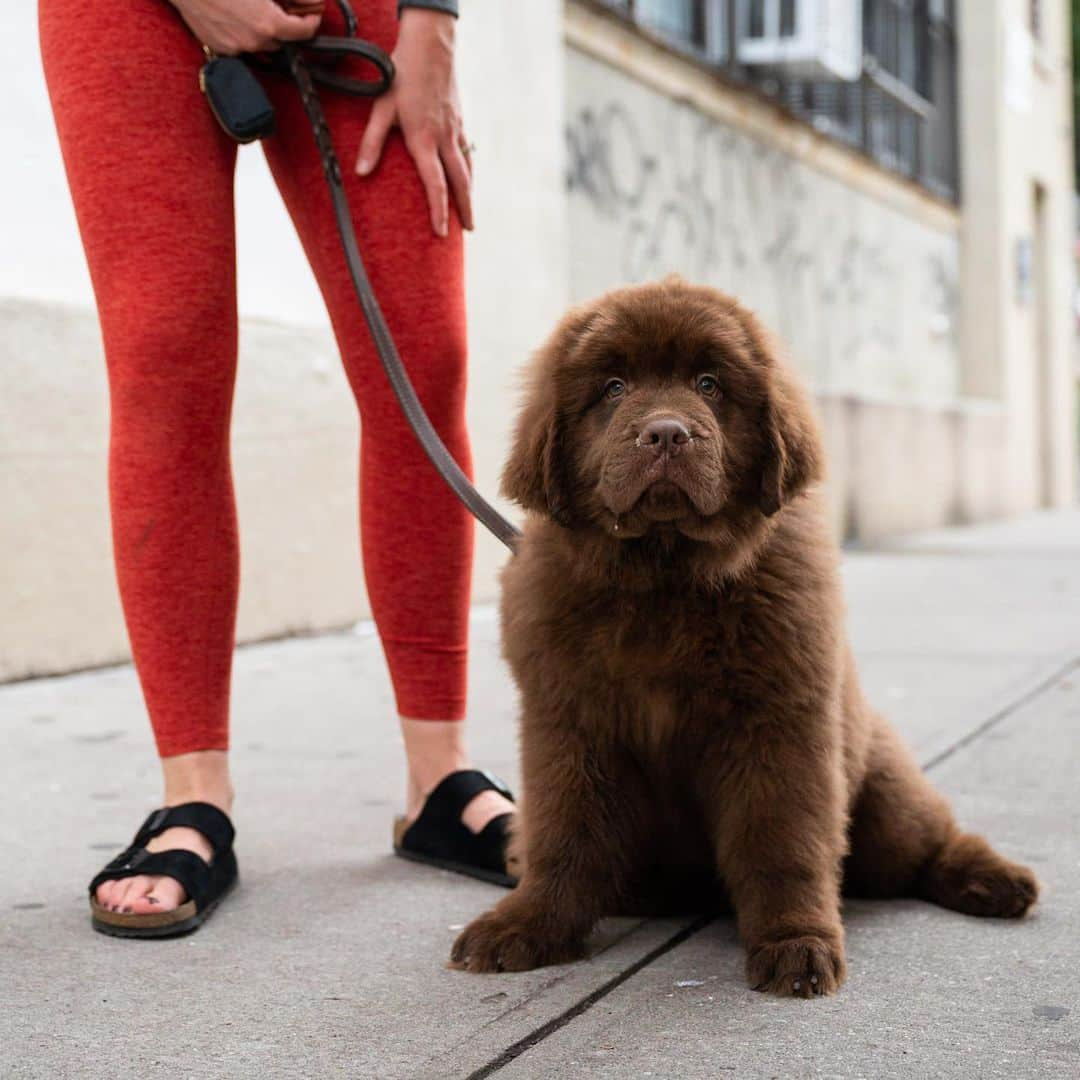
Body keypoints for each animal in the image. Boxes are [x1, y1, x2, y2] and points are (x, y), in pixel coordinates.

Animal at [449, 276, 1036, 993]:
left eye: (708, 383)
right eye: (613, 387)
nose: (665, 433)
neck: (664, 578)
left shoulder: (777, 724)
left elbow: (780, 840)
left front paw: (796, 944)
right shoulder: (568, 725)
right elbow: (564, 835)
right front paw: (528, 926)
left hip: (885, 800)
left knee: (928, 844)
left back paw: (997, 882)